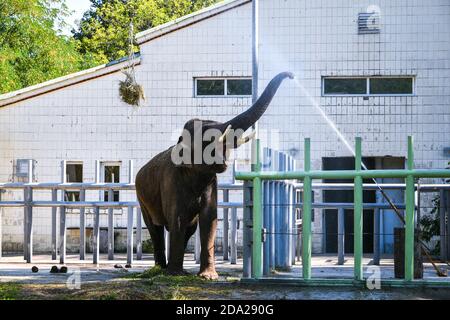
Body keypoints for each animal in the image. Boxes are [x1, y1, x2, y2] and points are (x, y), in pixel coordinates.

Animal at [135, 71, 294, 278]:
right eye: (206, 139)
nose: (291, 75)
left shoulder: (211, 183)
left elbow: (209, 219)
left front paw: (208, 277)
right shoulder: (171, 181)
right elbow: (176, 219)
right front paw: (175, 275)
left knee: (189, 228)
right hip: (141, 196)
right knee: (155, 227)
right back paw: (161, 269)